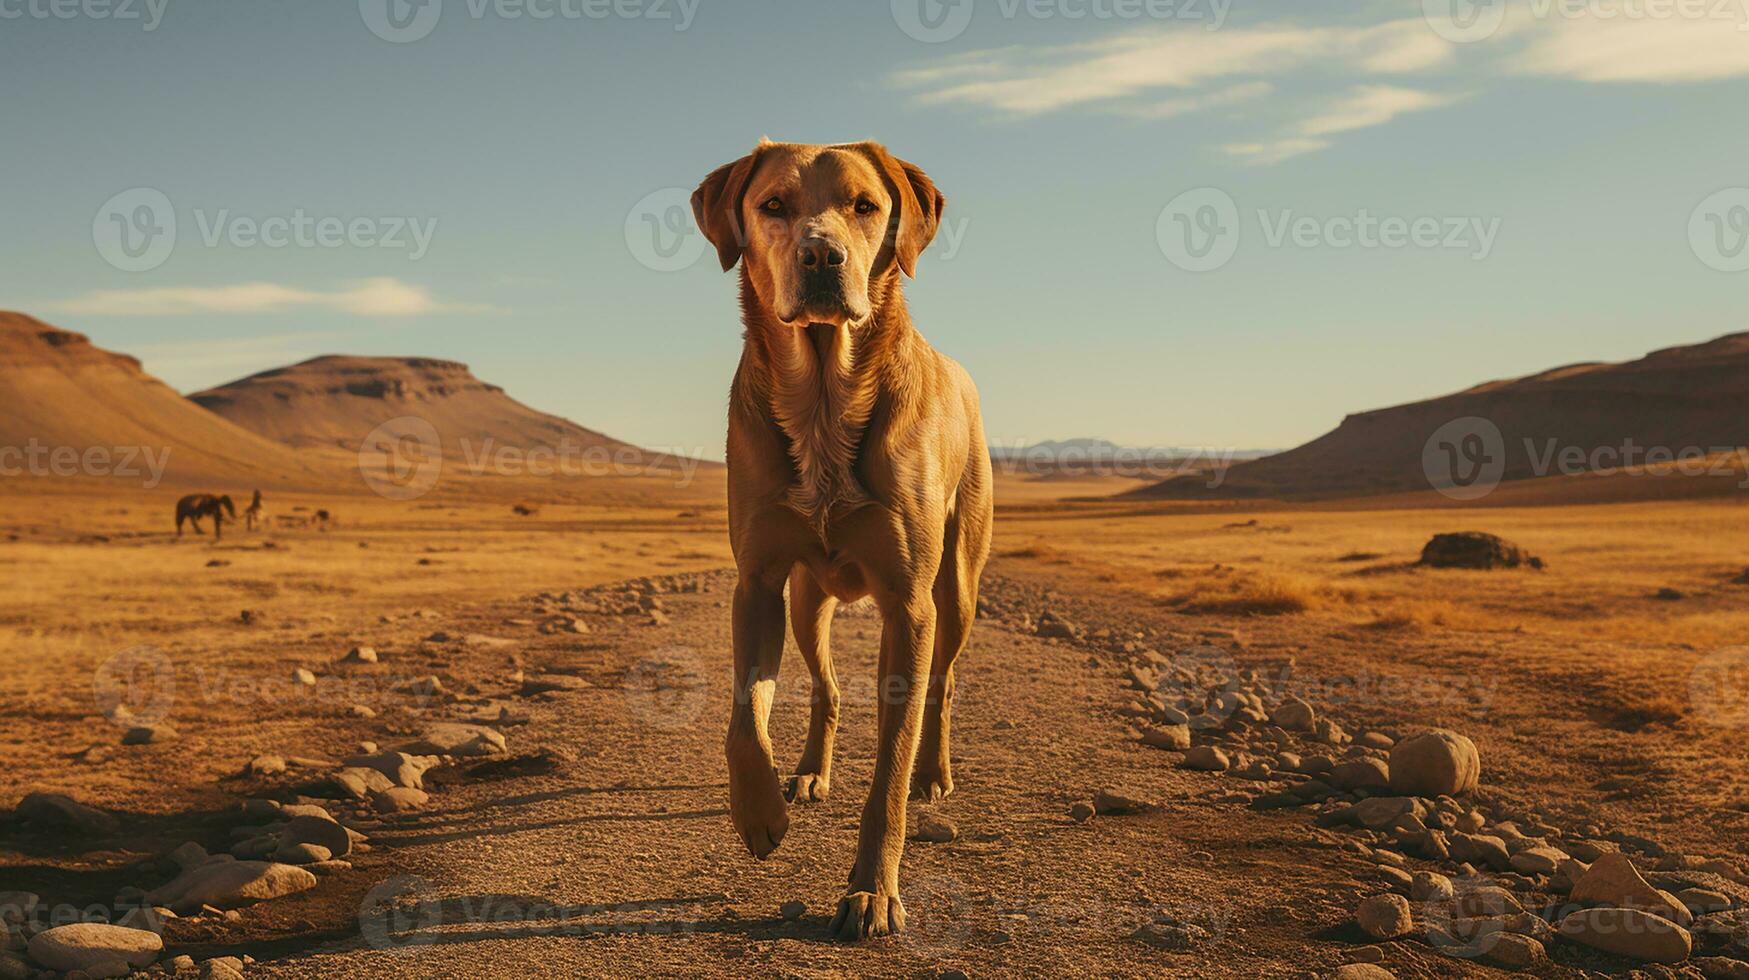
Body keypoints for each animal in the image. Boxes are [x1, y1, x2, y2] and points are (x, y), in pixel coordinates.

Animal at [696, 140, 1000, 945]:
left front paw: (871, 891)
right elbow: (744, 718)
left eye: (866, 205)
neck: (824, 401)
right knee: (827, 688)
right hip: (809, 600)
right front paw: (760, 815)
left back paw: (934, 772)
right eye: (772, 205)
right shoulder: (757, 582)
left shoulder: (908, 606)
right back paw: (807, 772)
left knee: (942, 684)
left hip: (958, 587)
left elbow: (889, 767)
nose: (822, 256)